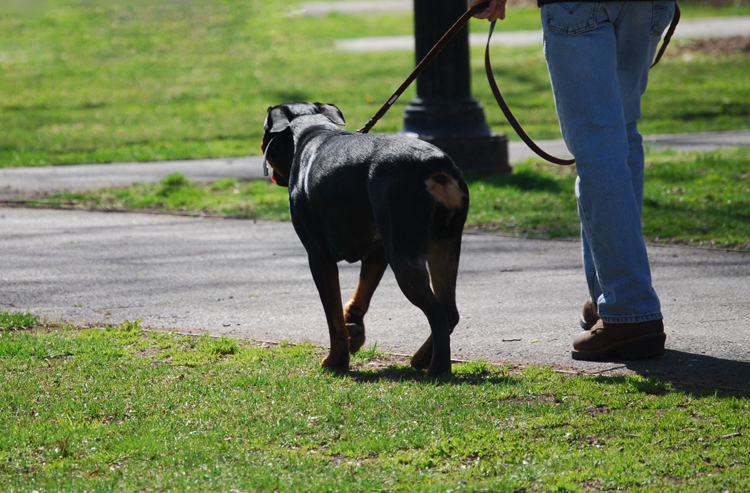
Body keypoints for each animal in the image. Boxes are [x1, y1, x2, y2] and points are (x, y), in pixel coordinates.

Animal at [262, 102, 468, 374]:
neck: (310, 131)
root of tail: (437, 167)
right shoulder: (376, 253)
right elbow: (360, 294)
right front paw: (354, 327)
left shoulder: (318, 256)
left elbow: (333, 317)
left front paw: (335, 361)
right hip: (445, 245)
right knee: (449, 311)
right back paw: (422, 358)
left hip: (404, 253)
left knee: (437, 312)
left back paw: (438, 369)